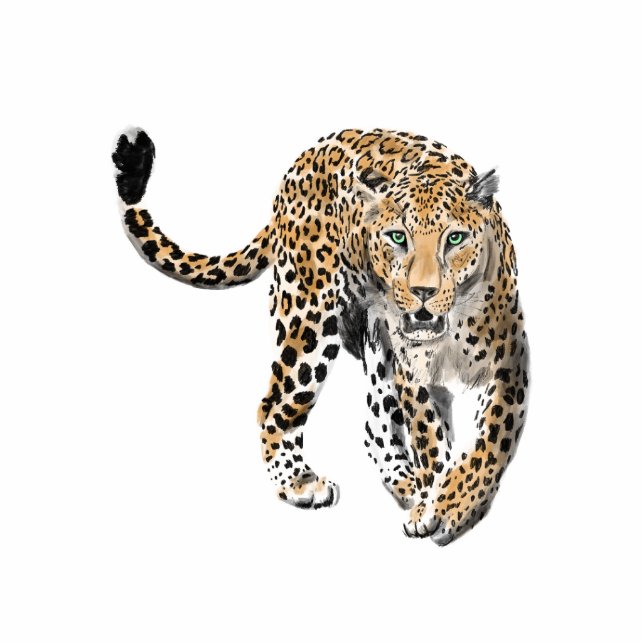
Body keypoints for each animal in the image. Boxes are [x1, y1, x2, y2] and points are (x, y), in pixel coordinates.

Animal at [112, 127, 529, 545]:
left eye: (455, 239)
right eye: (398, 237)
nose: (422, 291)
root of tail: (302, 161)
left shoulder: (509, 365)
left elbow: (490, 443)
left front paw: (449, 504)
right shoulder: (414, 375)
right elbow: (430, 440)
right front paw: (437, 505)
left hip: (373, 345)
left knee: (374, 424)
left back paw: (405, 486)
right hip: (308, 319)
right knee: (273, 405)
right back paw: (300, 483)